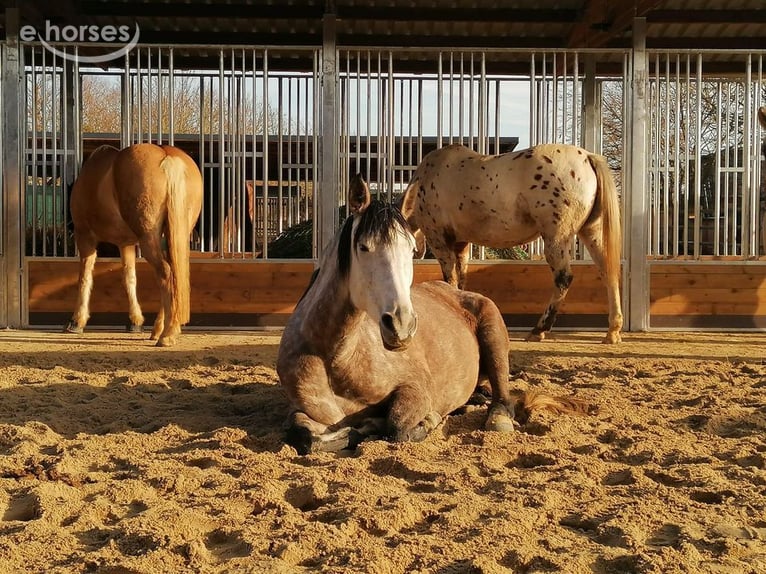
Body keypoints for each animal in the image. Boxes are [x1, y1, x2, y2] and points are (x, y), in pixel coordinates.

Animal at [64, 143, 203, 347]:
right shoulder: (126, 244)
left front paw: (77, 321)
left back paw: (167, 334)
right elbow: (129, 278)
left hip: (148, 238)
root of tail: (166, 156)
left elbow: (84, 277)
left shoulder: (85, 238)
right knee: (173, 274)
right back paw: (159, 330)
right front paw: (136, 321)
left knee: (165, 272)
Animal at [399, 143, 623, 344]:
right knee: (608, 272)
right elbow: (460, 279)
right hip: (591, 232)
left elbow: (450, 279)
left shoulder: (440, 241)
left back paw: (539, 330)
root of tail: (587, 157)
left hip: (557, 238)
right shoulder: (461, 244)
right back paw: (612, 332)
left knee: (563, 278)